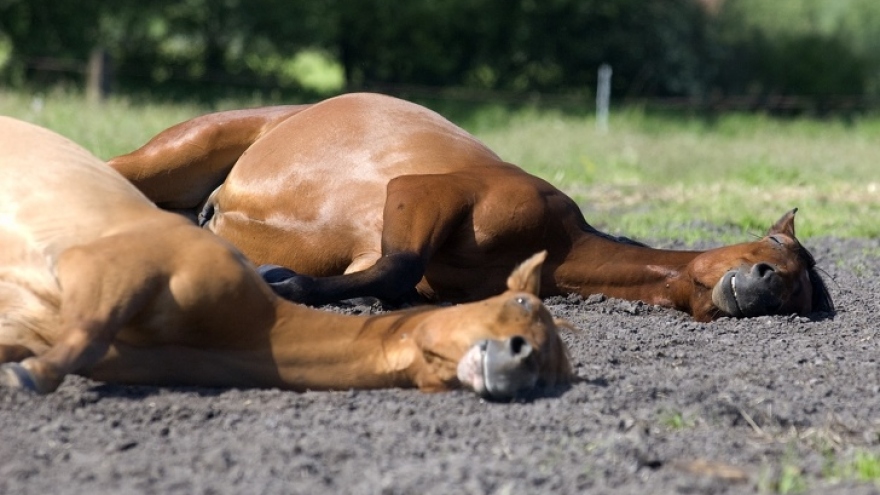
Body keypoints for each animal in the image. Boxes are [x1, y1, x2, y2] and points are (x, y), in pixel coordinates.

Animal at [110, 93, 832, 324]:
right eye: (777, 250)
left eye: (799, 293)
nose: (765, 286)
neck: (560, 246)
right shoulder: (425, 192)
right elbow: (399, 265)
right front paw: (285, 283)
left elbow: (390, 279)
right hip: (174, 151)